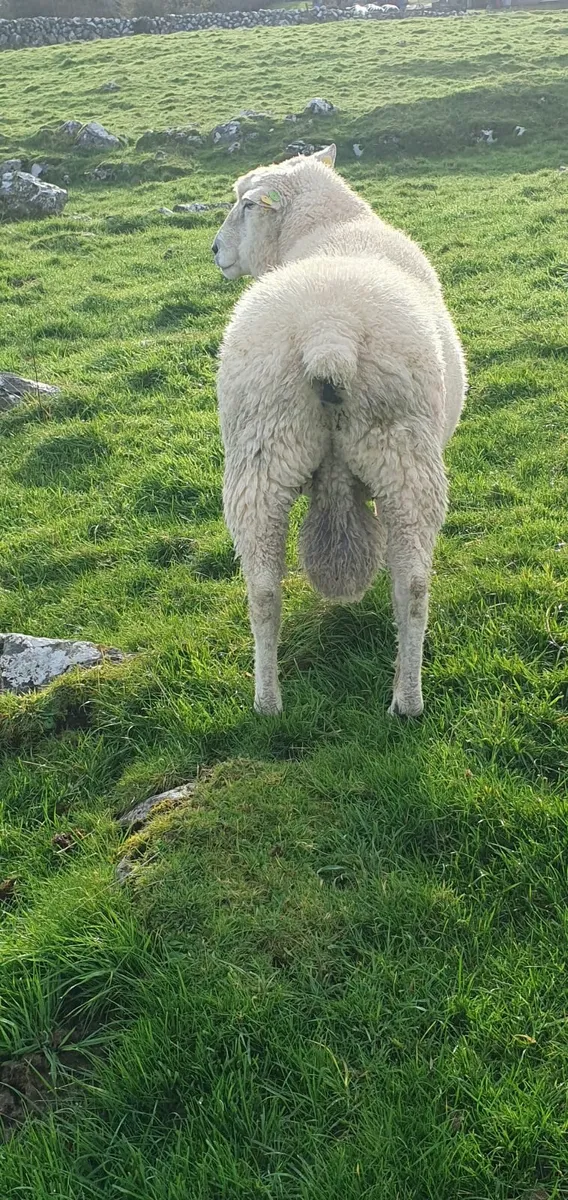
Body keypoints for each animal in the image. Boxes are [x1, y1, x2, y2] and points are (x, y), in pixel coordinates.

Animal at [213, 144, 466, 717]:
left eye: (245, 204)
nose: (216, 251)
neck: (331, 227)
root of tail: (329, 332)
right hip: (395, 450)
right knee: (411, 584)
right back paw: (405, 698)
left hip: (269, 448)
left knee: (267, 591)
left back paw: (273, 702)